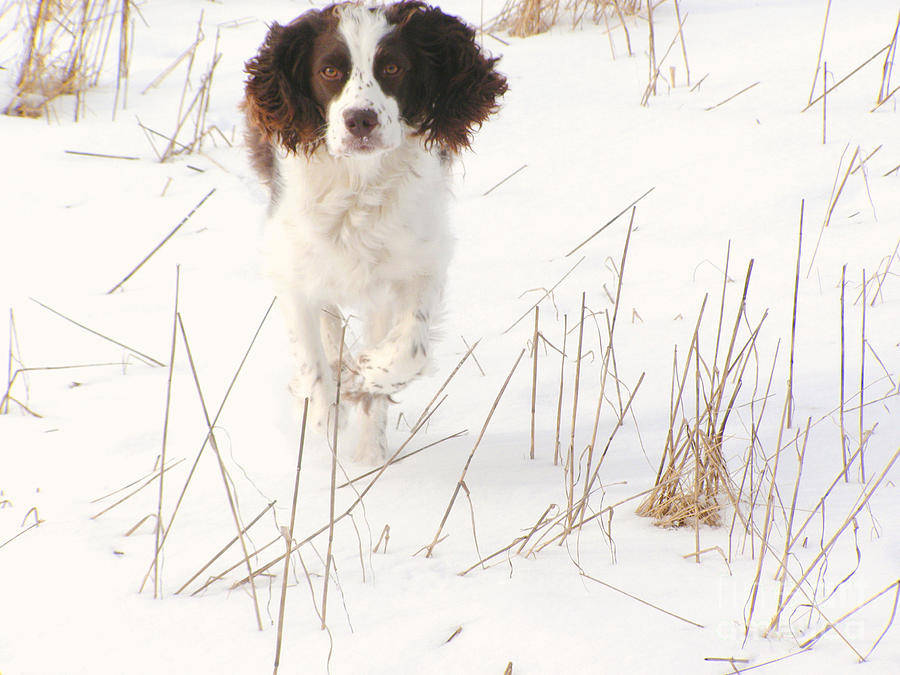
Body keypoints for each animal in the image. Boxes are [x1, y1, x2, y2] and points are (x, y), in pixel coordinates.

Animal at [244, 0, 506, 462]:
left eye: (393, 67)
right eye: (330, 71)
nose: (360, 120)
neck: (359, 184)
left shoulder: (417, 266)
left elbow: (409, 350)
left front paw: (365, 382)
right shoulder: (291, 269)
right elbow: (312, 360)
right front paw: (324, 425)